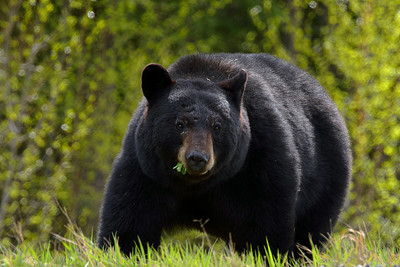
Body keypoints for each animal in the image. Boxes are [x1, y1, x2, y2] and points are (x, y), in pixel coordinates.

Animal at [97, 54, 350, 258]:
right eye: (180, 123)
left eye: (217, 126)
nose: (197, 158)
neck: (195, 185)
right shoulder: (145, 169)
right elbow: (130, 221)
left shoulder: (260, 160)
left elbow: (266, 222)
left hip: (327, 176)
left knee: (310, 232)